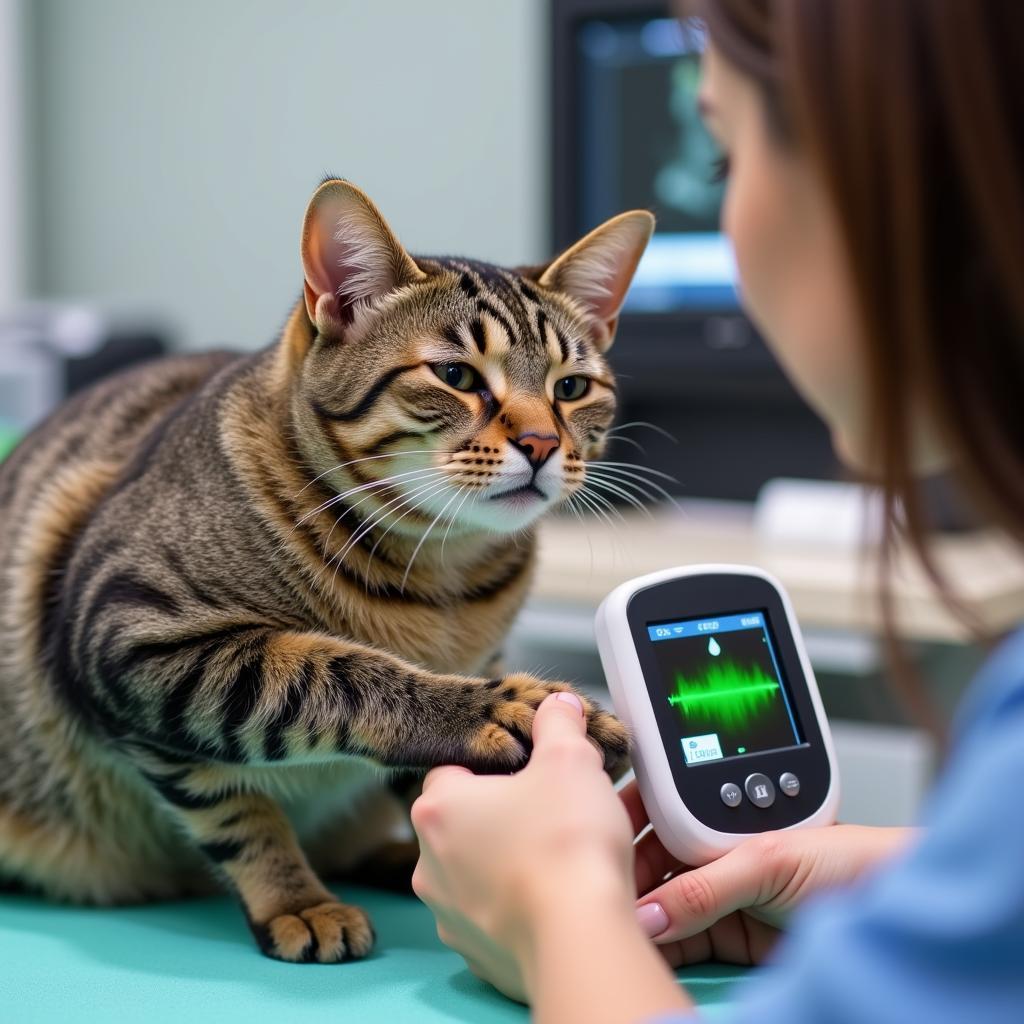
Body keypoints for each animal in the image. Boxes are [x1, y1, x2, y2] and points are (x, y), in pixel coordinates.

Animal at [0, 182, 655, 958]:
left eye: (573, 387)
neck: (443, 572)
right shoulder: (129, 630)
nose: (541, 442)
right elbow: (309, 705)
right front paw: (298, 898)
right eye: (456, 375)